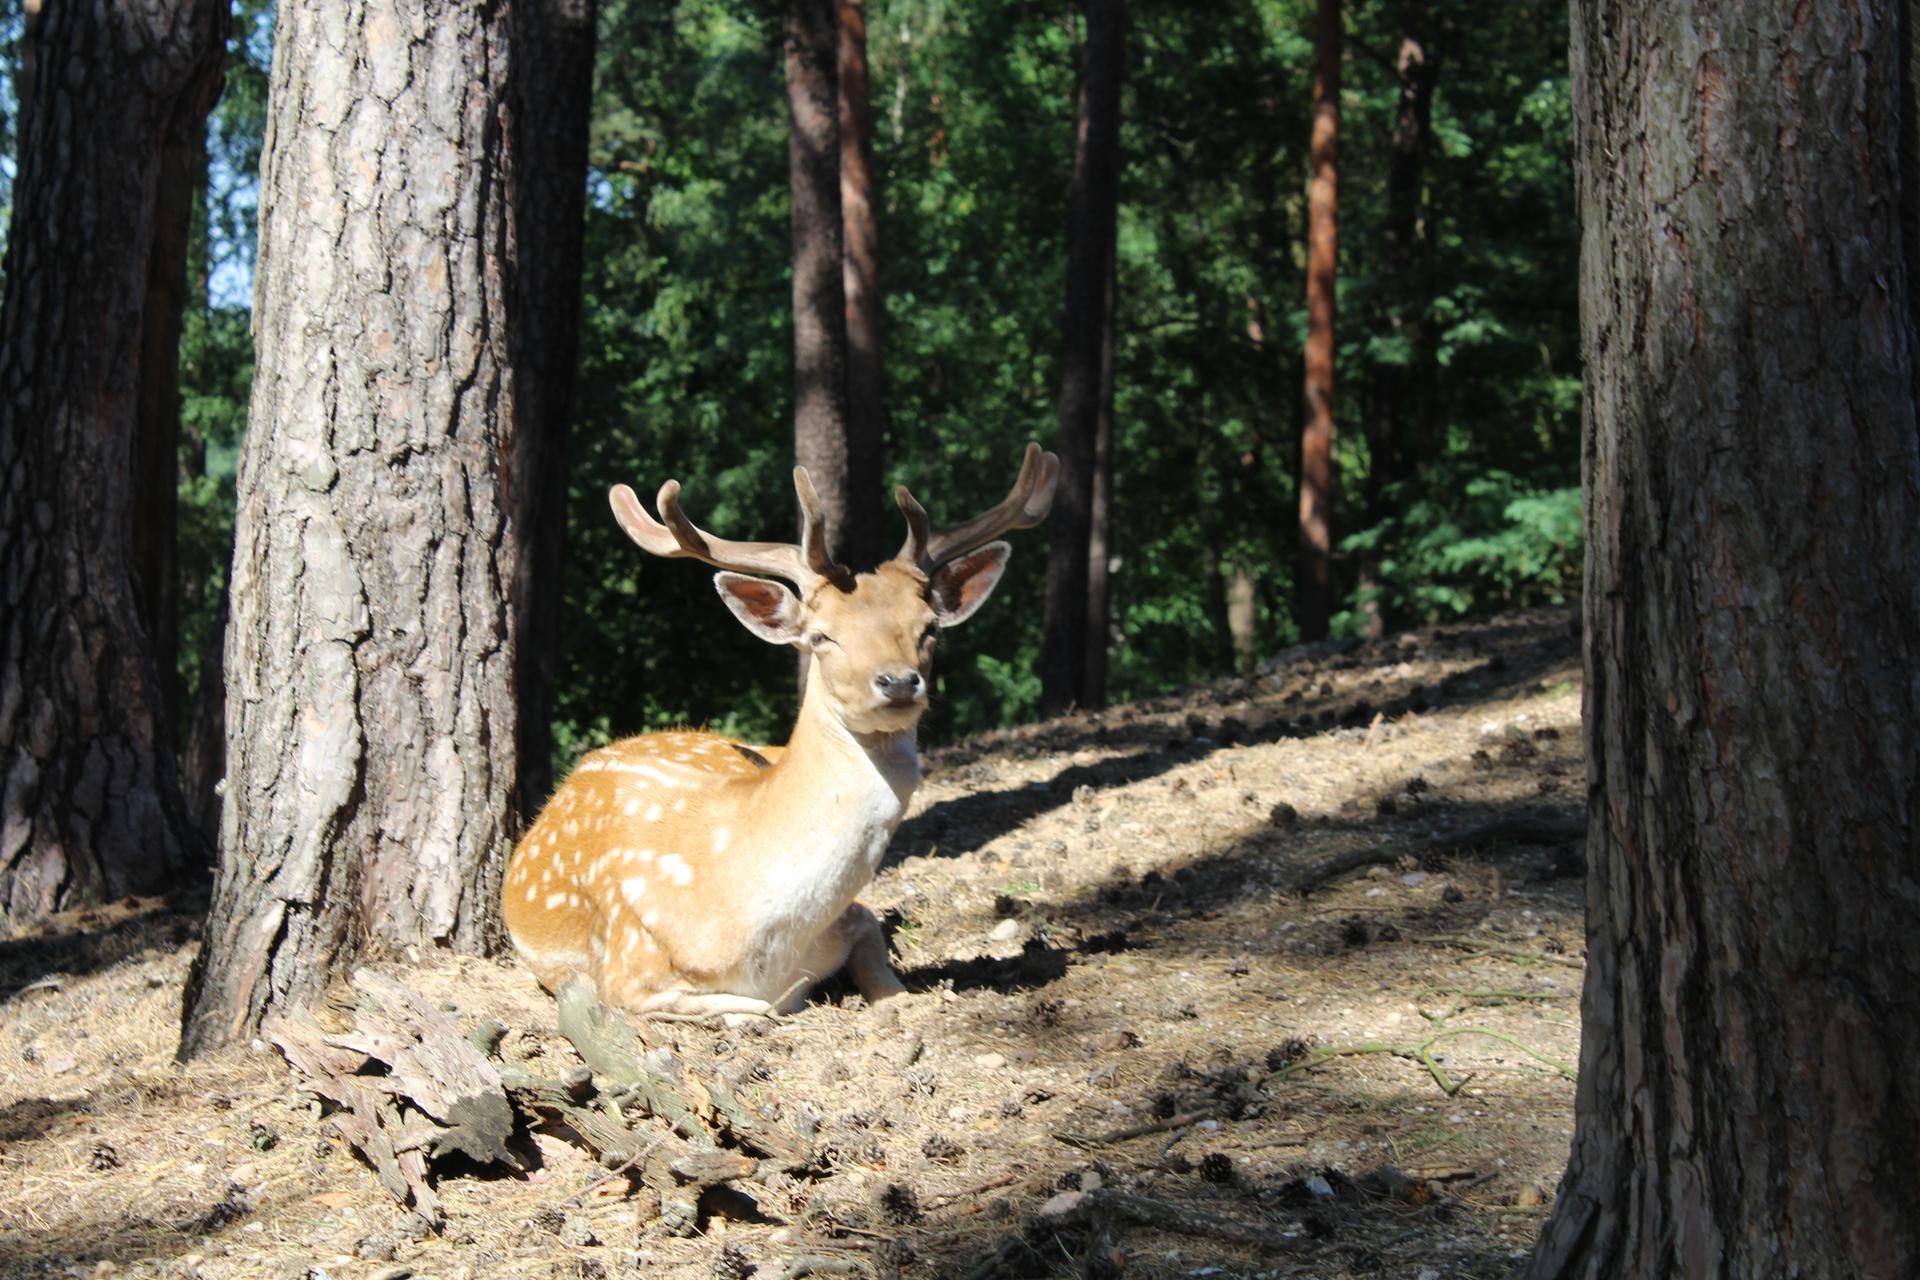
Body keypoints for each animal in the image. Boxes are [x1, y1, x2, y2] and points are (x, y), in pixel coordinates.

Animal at [503, 445, 1059, 1013]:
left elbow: (877, 956)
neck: (767, 941)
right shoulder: (627, 970)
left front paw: (895, 993)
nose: (899, 681)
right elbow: (755, 1008)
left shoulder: (852, 916)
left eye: (929, 629)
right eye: (822, 636)